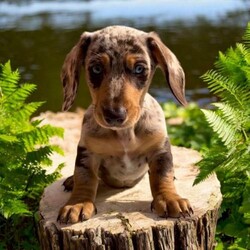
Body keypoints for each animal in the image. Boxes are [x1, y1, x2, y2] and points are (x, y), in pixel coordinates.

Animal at [57, 25, 192, 225]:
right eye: (96, 68)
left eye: (139, 68)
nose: (114, 115)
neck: (124, 134)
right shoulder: (87, 152)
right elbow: (85, 177)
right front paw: (78, 203)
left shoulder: (159, 149)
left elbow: (162, 176)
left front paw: (169, 199)